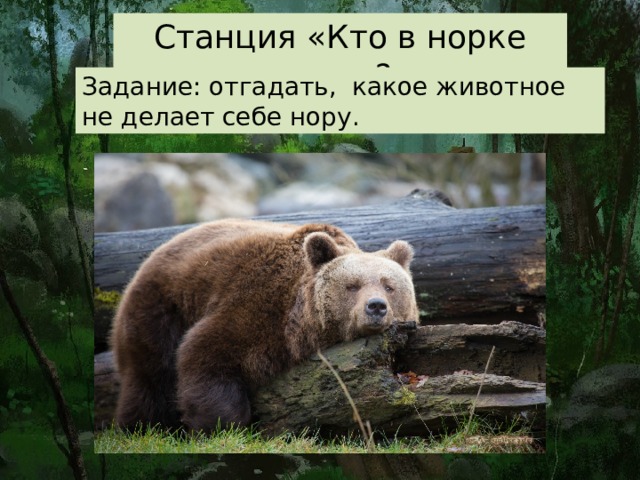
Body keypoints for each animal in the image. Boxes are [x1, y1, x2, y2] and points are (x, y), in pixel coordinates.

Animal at [110, 218, 419, 432]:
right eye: (352, 285)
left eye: (389, 286)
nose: (376, 306)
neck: (300, 321)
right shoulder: (255, 304)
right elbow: (205, 353)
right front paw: (221, 424)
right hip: (161, 307)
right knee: (150, 375)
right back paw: (140, 427)